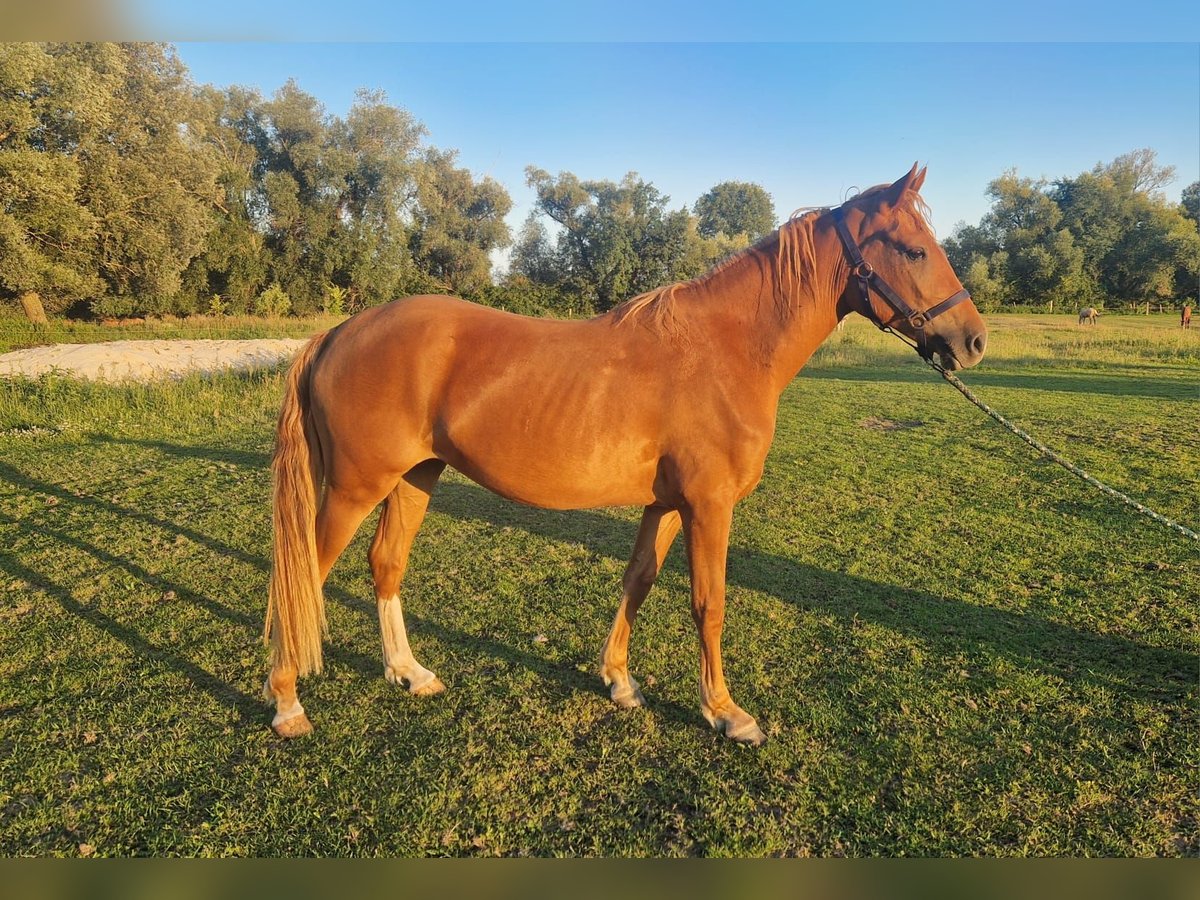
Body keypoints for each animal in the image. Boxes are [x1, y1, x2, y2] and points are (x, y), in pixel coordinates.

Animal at [260, 168, 984, 748]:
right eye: (915, 249)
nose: (972, 340)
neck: (725, 349)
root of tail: (335, 334)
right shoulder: (708, 506)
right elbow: (708, 602)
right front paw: (726, 713)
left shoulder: (666, 504)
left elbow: (637, 580)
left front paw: (619, 681)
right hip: (355, 488)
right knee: (302, 575)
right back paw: (287, 703)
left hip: (416, 476)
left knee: (386, 564)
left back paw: (408, 673)